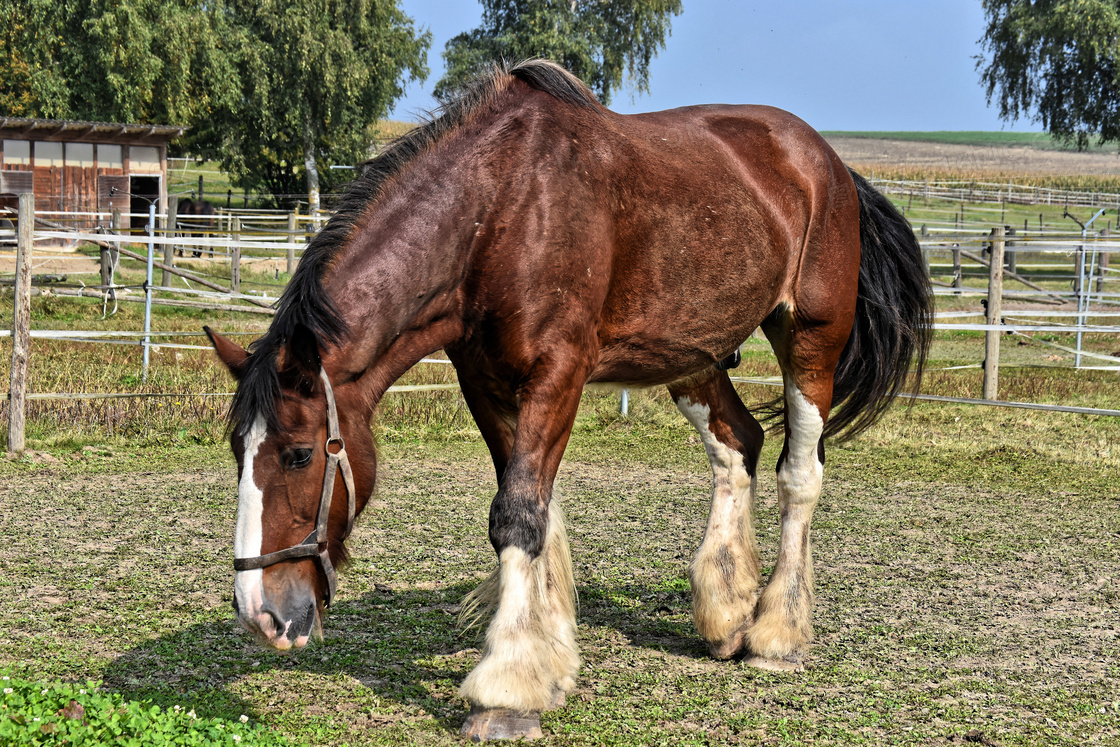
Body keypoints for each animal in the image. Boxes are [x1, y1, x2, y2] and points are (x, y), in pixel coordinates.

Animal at [206, 59, 931, 743]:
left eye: (299, 454)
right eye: (237, 451)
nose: (259, 613)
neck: (500, 210)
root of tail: (829, 163)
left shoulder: (558, 374)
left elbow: (518, 514)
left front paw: (505, 690)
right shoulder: (486, 383)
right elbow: (535, 510)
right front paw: (546, 660)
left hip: (811, 340)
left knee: (799, 474)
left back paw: (777, 631)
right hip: (692, 355)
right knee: (738, 445)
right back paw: (727, 611)